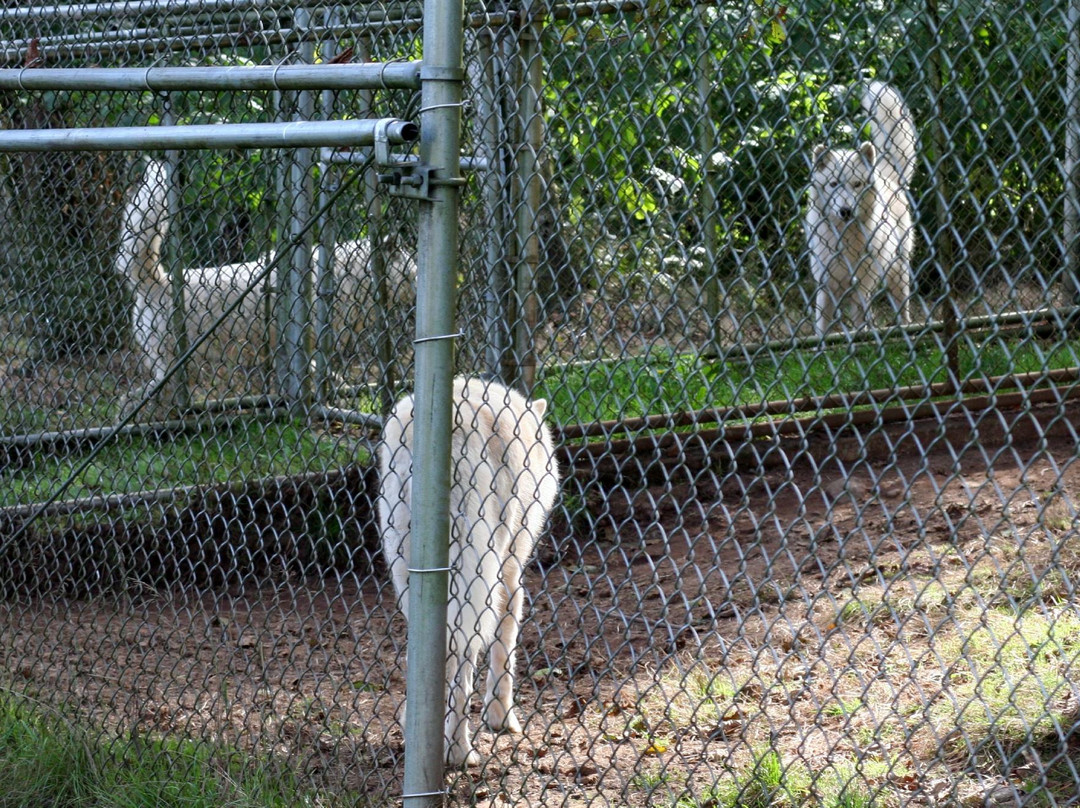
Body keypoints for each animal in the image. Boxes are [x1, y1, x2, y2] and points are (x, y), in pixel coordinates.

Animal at [379, 376, 560, 766]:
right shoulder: (509, 575)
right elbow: (504, 646)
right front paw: (501, 718)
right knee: (460, 663)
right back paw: (459, 752)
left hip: (408, 572)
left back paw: (416, 730)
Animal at [805, 81, 918, 334]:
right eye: (833, 184)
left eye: (856, 184)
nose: (845, 211)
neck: (845, 240)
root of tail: (885, 172)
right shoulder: (825, 286)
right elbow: (822, 328)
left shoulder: (862, 287)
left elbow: (861, 323)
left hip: (898, 273)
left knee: (903, 309)